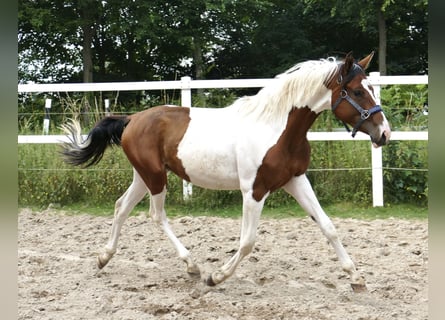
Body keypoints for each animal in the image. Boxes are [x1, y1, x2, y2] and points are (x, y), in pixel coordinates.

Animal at [61, 52, 388, 292]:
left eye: (372, 88)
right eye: (357, 91)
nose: (384, 133)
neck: (276, 128)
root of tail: (131, 119)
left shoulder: (296, 181)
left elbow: (328, 227)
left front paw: (357, 279)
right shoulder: (254, 190)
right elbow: (247, 242)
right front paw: (215, 277)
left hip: (143, 175)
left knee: (121, 207)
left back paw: (103, 258)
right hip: (155, 177)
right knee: (156, 214)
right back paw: (192, 266)